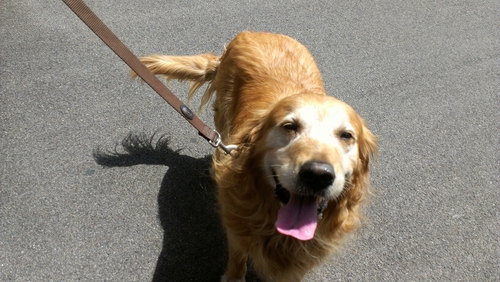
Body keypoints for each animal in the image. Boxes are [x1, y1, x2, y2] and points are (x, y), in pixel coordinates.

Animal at [133, 31, 376, 282]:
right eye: (289, 127)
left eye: (346, 135)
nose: (317, 175)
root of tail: (253, 33)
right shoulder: (238, 226)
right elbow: (238, 256)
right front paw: (233, 277)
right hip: (223, 113)